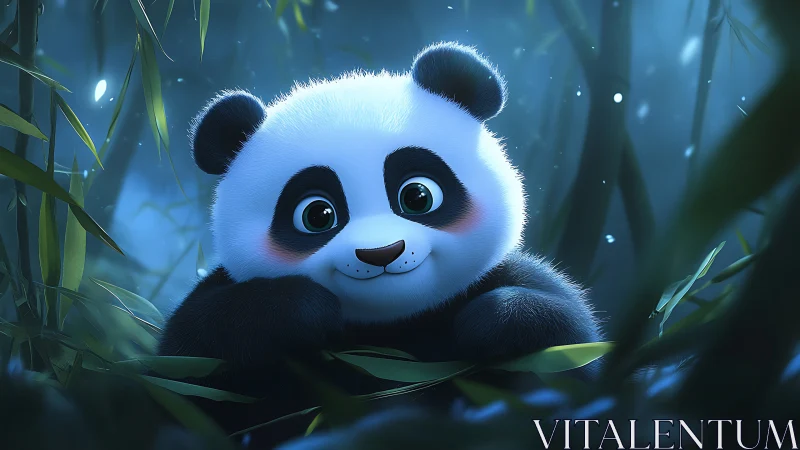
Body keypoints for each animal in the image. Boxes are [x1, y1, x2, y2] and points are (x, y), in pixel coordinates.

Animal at [158, 42, 602, 448]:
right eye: (317, 214)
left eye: (417, 196)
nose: (382, 252)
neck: (393, 327)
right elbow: (186, 372)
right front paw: (305, 308)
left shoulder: (506, 283)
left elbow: (571, 348)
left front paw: (489, 319)